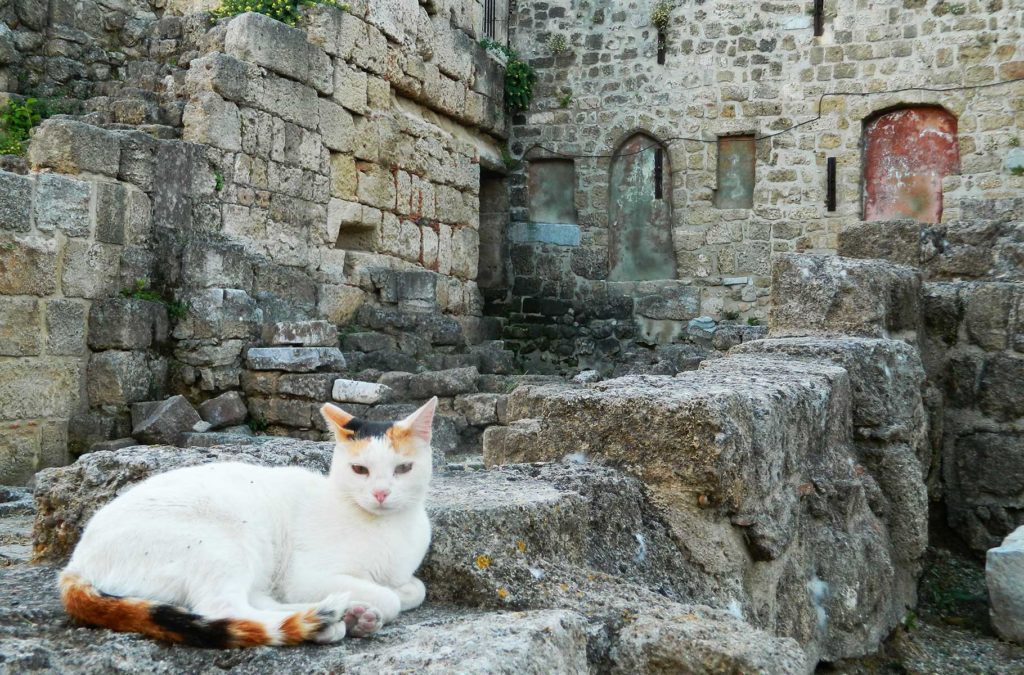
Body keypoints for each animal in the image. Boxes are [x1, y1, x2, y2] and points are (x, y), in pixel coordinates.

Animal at [58, 395, 438, 651]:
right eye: (359, 470)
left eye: (403, 469)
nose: (380, 493)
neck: (387, 529)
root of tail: (75, 562)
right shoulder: (305, 577)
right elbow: (390, 597)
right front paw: (381, 599)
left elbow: (416, 589)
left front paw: (385, 597)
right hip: (223, 542)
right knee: (226, 609)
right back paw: (326, 622)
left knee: (254, 601)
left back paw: (343, 614)